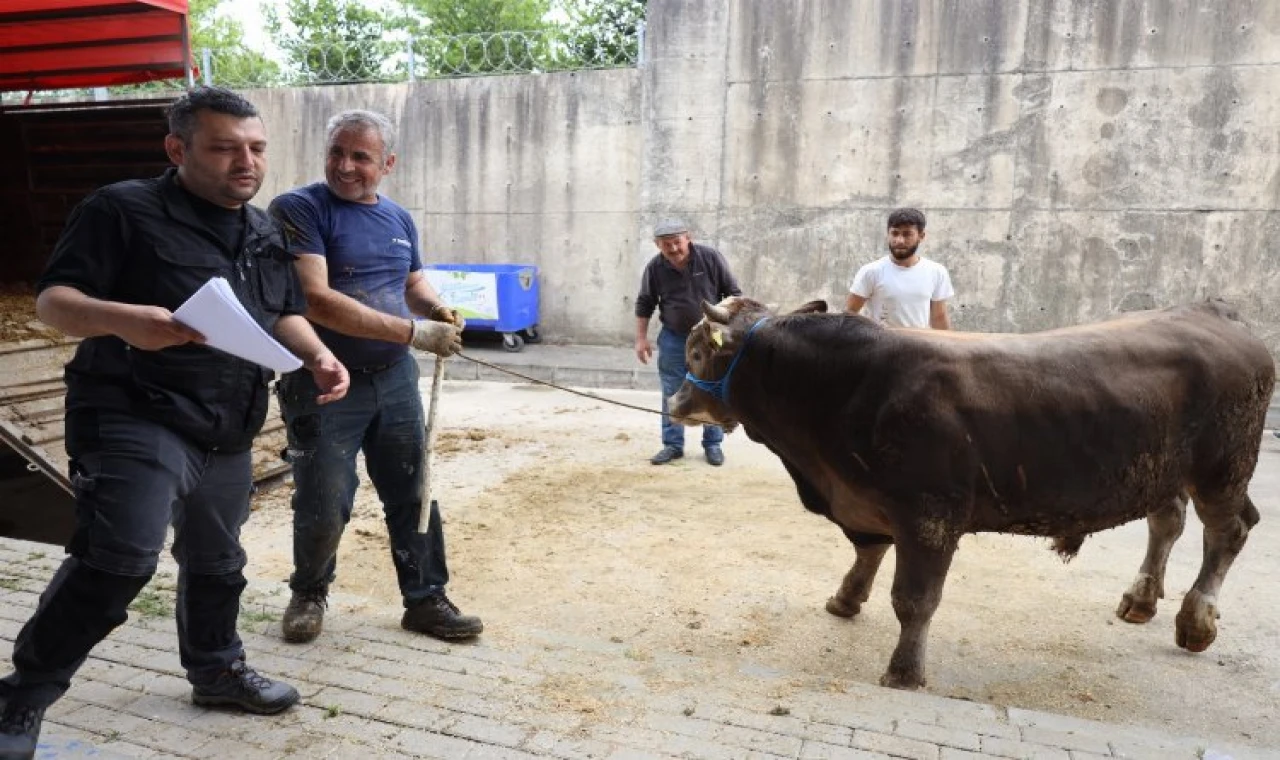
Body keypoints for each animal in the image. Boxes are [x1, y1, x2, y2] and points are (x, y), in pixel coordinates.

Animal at [670, 294, 1269, 685]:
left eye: (698, 351)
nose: (675, 401)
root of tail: (1215, 312)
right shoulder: (867, 501)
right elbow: (867, 552)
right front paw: (846, 599)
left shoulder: (930, 516)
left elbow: (914, 600)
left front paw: (905, 671)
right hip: (1163, 472)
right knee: (1169, 521)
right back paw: (1141, 599)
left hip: (1223, 469)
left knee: (1230, 531)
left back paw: (1196, 621)